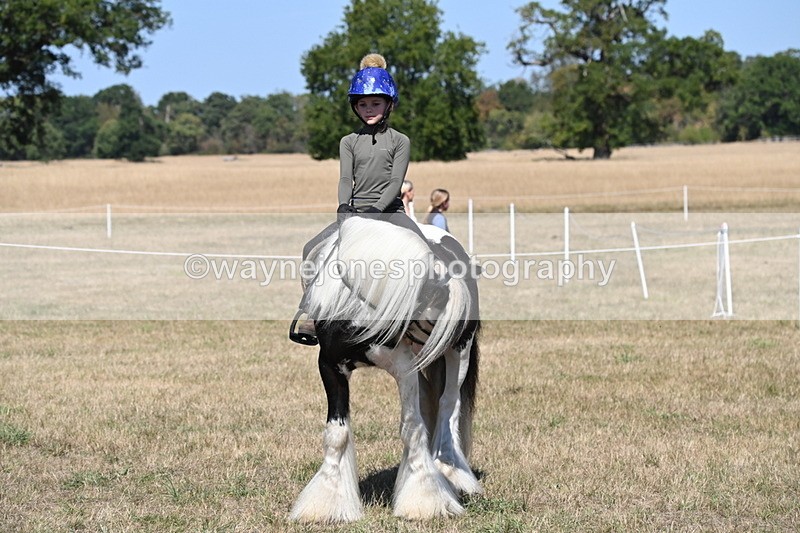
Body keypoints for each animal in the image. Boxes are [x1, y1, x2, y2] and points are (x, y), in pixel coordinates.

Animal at [288, 215, 482, 523]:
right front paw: (326, 503)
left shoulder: (404, 368)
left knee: (449, 405)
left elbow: (412, 427)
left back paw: (450, 472)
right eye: (433, 298)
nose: (458, 326)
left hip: (457, 356)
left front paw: (424, 500)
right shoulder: (330, 366)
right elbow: (336, 434)